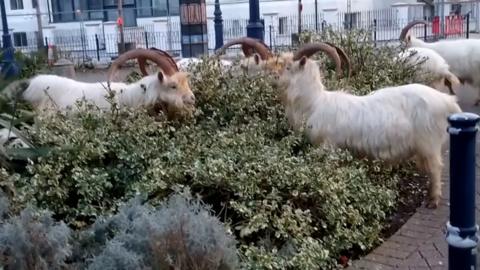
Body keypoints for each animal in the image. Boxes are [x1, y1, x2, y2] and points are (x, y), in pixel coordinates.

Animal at [280, 43, 464, 208]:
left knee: (435, 169)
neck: (314, 103)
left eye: (288, 67)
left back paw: (432, 200)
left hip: (429, 143)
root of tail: (447, 101)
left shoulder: (328, 147)